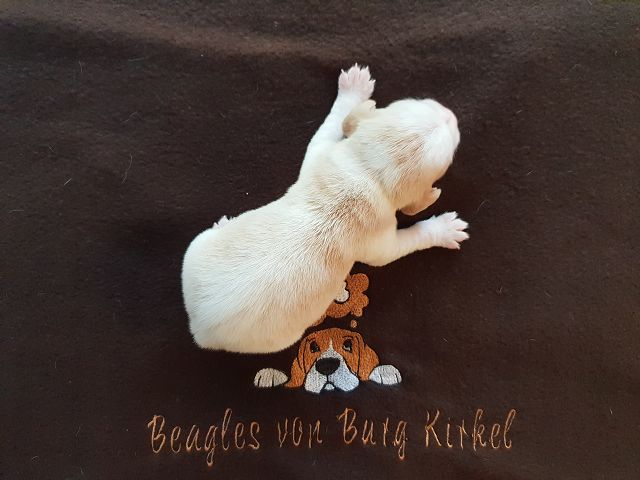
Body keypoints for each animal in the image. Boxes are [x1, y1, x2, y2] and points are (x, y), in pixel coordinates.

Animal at [182, 64, 468, 353]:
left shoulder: (320, 155)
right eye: (450, 154)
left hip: (195, 249)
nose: (452, 115)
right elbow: (405, 243)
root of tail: (199, 328)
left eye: (418, 101)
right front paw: (442, 229)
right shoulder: (380, 243)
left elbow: (326, 131)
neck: (369, 173)